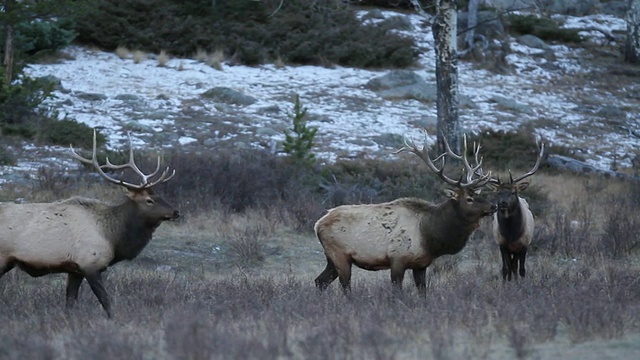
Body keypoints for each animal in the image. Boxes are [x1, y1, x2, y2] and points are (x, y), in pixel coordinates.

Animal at [0, 131, 178, 316]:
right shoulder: (90, 264)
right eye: (149, 200)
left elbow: (70, 302)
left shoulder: (75, 270)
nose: (176, 212)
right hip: (2, 257)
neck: (113, 237)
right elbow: (106, 301)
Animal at [312, 134, 498, 294]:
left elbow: (423, 292)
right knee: (344, 286)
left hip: (332, 259)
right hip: (339, 255)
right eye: (469, 199)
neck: (430, 235)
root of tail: (317, 224)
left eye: (479, 194)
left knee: (320, 281)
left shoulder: (421, 265)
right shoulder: (397, 259)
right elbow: (397, 292)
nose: (494, 206)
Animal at [490, 141, 544, 282]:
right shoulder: (501, 244)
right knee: (510, 267)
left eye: (513, 192)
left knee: (516, 266)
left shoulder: (524, 244)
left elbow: (521, 269)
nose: (503, 203)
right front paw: (506, 284)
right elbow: (506, 269)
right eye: (498, 193)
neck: (511, 234)